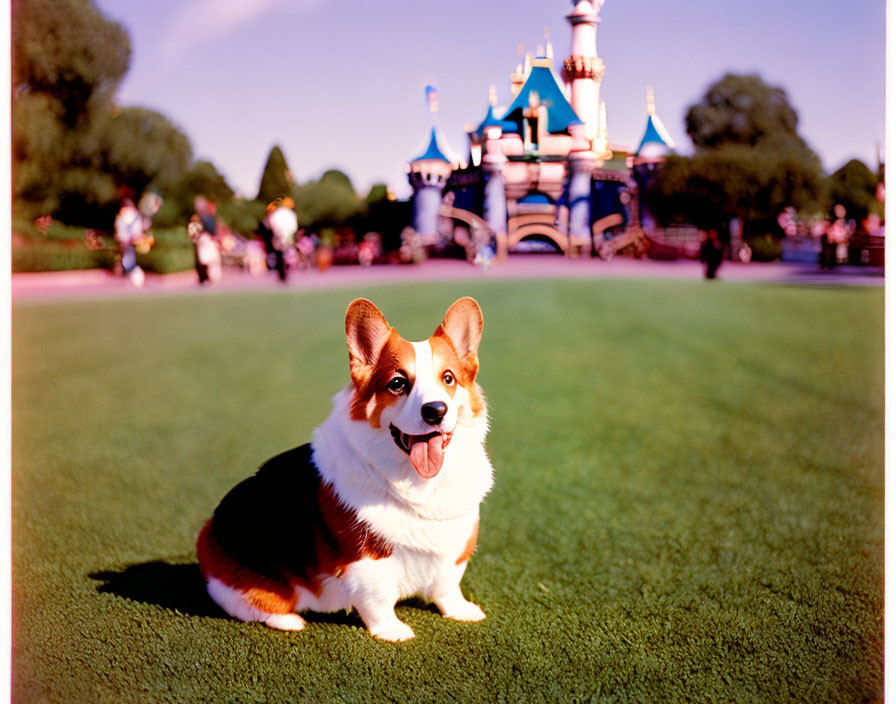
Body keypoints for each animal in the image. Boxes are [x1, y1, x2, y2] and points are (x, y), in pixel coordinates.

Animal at [197, 296, 494, 644]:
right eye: (398, 383)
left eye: (448, 378)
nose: (435, 411)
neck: (419, 484)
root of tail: (207, 534)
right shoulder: (366, 563)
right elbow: (378, 602)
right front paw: (393, 632)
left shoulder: (454, 552)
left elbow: (447, 587)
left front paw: (461, 611)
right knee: (250, 604)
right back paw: (290, 621)